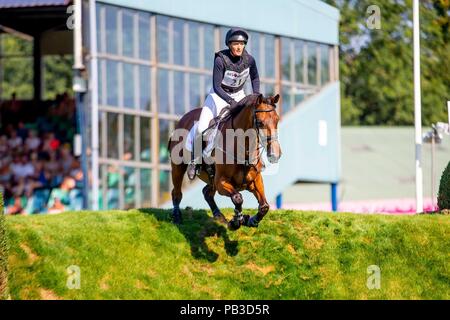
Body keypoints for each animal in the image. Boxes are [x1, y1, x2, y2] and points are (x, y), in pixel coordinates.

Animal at [168, 92, 282, 230]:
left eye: (277, 120)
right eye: (259, 122)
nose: (275, 154)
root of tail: (183, 119)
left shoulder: (255, 179)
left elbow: (264, 206)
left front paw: (251, 221)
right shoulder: (221, 181)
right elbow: (238, 198)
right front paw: (237, 221)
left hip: (211, 179)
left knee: (207, 192)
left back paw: (219, 215)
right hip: (178, 167)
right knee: (177, 192)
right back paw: (177, 217)